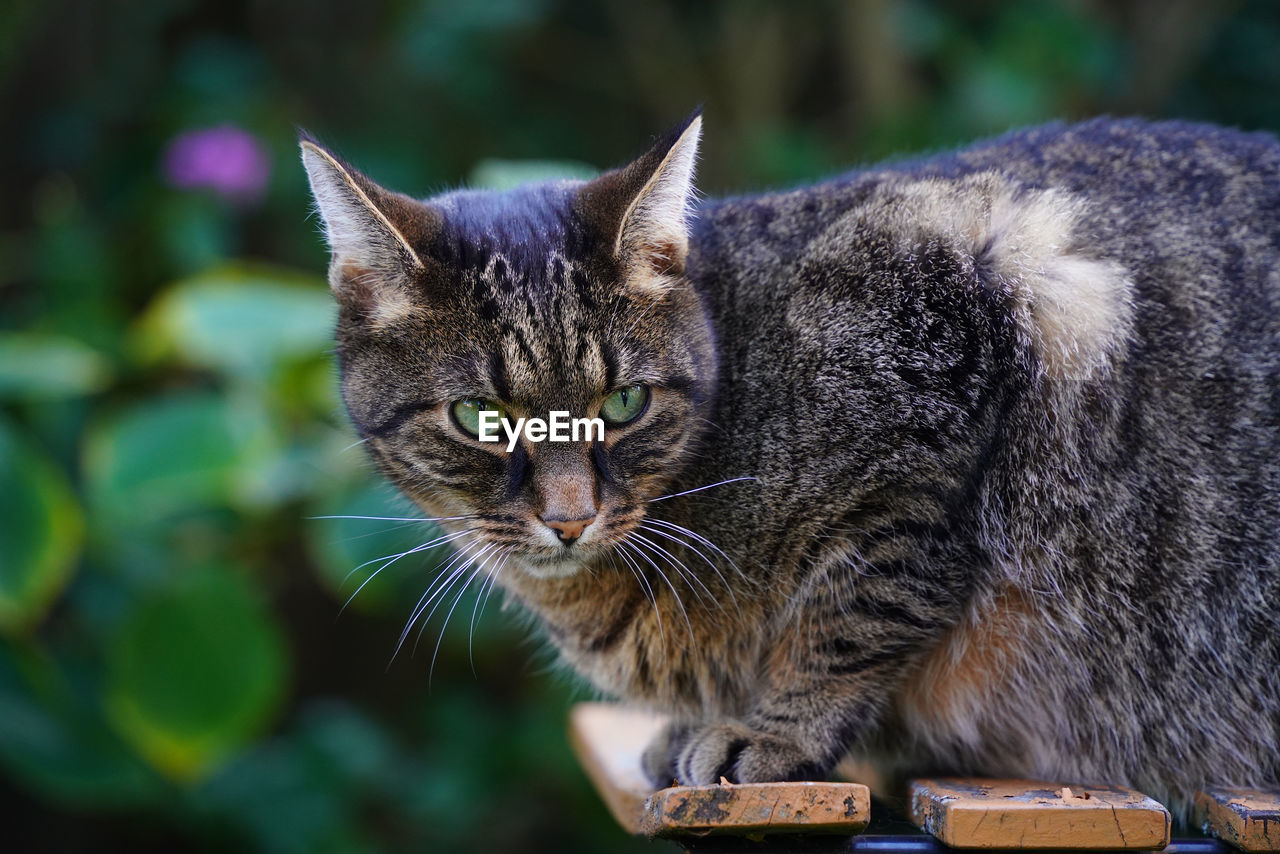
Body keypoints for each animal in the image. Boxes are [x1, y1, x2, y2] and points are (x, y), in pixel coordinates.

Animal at [302, 112, 1280, 814]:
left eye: (623, 405)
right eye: (482, 419)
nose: (570, 517)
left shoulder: (975, 305)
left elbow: (859, 605)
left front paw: (774, 731)